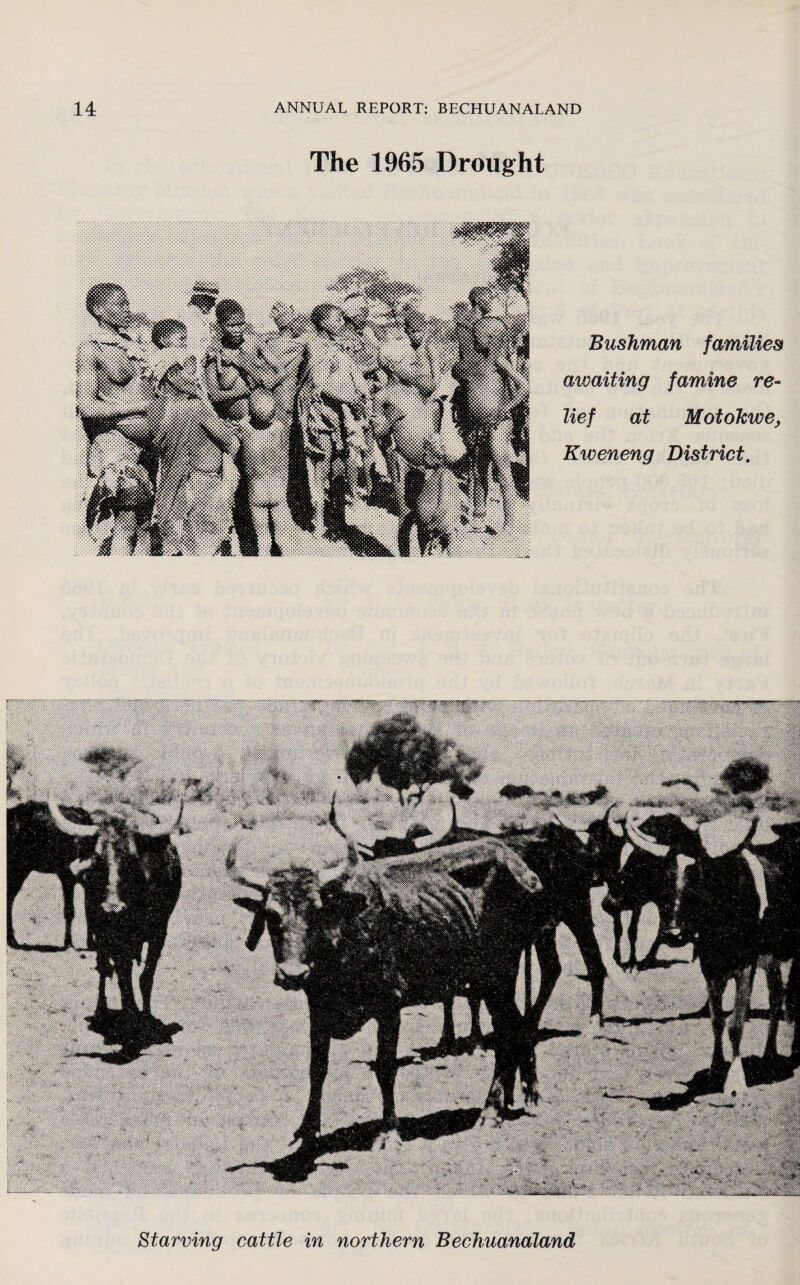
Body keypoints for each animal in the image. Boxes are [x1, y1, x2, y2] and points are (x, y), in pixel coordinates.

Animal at [228, 822, 547, 1156]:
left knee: (508, 1032)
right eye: (271, 915)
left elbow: (385, 1068)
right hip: (492, 983)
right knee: (517, 1027)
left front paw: (388, 1132)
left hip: (499, 975)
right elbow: (317, 1069)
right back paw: (526, 1094)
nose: (292, 974)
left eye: (317, 912)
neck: (344, 931)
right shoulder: (318, 1008)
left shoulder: (390, 1006)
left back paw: (491, 1110)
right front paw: (308, 1133)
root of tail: (520, 867)